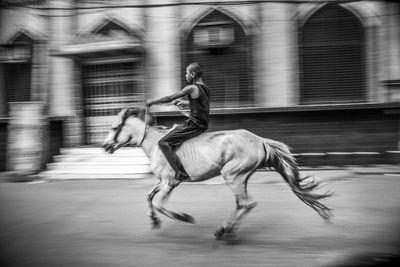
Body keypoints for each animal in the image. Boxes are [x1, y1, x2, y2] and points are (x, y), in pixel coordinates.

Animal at [101, 107, 332, 241]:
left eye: (114, 127)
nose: (105, 146)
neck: (155, 143)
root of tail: (259, 140)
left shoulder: (170, 181)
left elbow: (159, 203)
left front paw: (185, 217)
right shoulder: (162, 181)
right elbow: (149, 197)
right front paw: (154, 222)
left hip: (232, 175)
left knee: (247, 203)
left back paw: (224, 230)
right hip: (241, 177)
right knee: (242, 204)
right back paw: (227, 229)